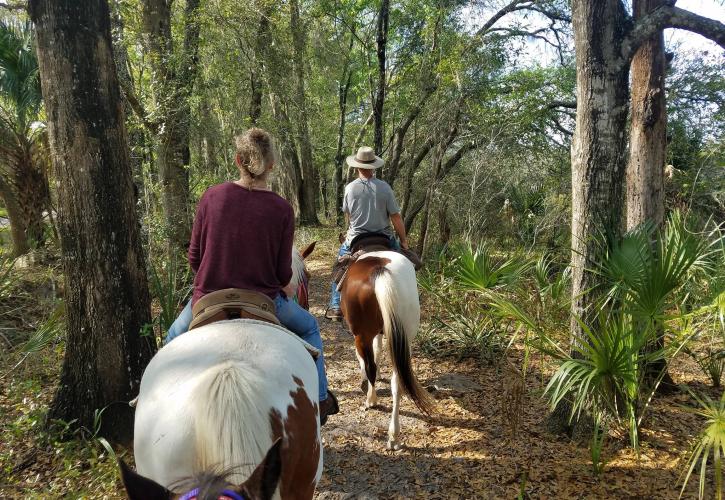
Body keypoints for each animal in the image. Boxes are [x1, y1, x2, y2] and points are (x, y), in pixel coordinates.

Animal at [340, 250, 436, 450]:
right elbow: (378, 350)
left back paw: (371, 400)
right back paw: (394, 435)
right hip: (406, 335)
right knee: (397, 381)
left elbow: (368, 361)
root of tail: (379, 271)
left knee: (370, 367)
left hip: (362, 335)